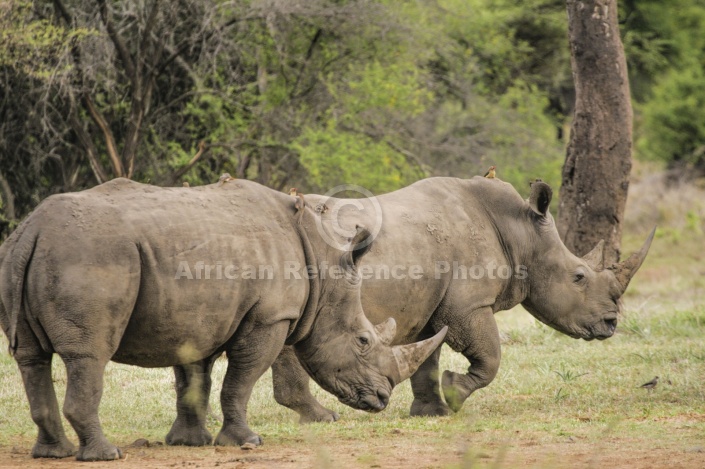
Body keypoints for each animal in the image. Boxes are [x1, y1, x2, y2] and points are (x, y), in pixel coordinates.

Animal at [0, 177, 446, 458]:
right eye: (363, 341)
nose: (382, 399)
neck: (321, 264)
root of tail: (33, 229)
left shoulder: (194, 317)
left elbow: (193, 380)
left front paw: (188, 442)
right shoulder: (269, 318)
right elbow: (240, 381)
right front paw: (247, 442)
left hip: (19, 255)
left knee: (31, 357)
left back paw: (52, 453)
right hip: (90, 256)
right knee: (88, 355)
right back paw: (107, 454)